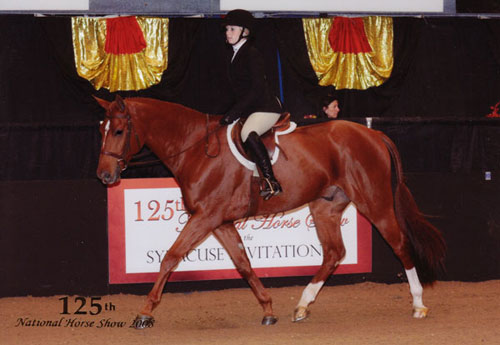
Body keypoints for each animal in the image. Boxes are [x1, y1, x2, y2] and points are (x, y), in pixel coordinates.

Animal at [94, 95, 446, 326]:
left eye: (119, 131)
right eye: (102, 129)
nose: (105, 177)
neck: (196, 149)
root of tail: (372, 133)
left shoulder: (205, 217)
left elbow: (171, 256)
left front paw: (145, 312)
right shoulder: (219, 221)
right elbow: (243, 263)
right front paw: (268, 309)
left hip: (374, 200)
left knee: (399, 244)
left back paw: (418, 304)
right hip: (326, 206)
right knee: (334, 252)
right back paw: (302, 306)